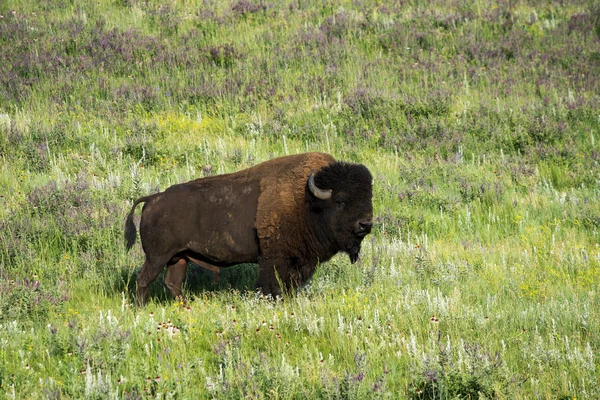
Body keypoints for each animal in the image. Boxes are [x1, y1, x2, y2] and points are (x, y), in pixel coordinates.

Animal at [124, 152, 372, 304]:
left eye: (369, 197)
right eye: (340, 200)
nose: (366, 224)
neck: (306, 201)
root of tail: (153, 198)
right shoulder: (274, 258)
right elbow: (272, 285)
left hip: (179, 257)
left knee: (172, 283)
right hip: (157, 257)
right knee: (143, 280)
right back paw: (141, 308)